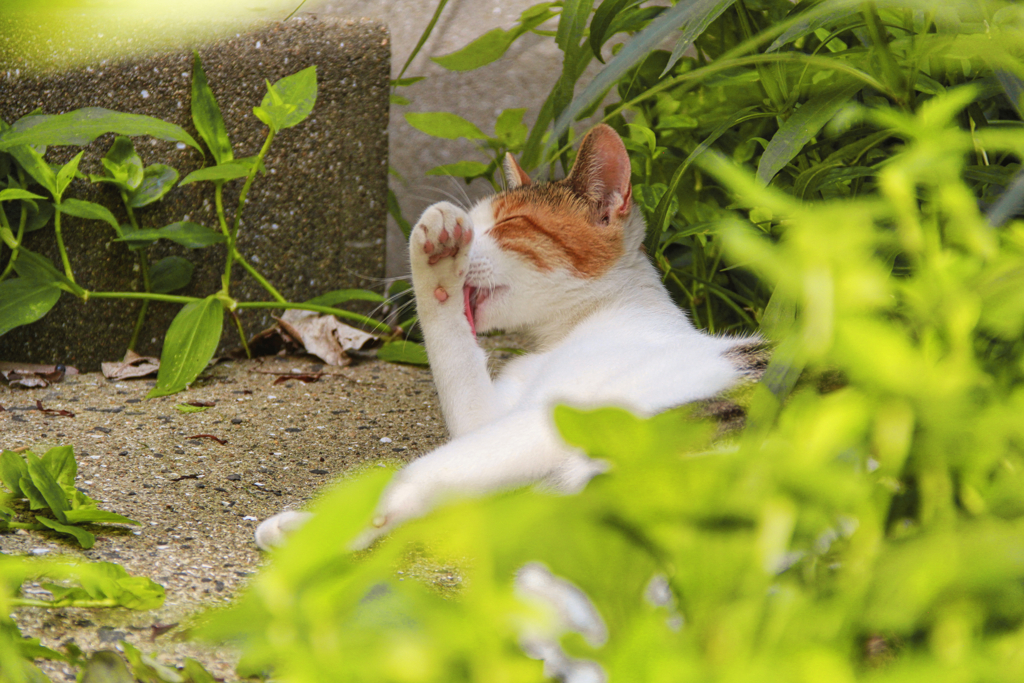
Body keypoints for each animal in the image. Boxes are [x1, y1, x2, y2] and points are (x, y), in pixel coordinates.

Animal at [256, 121, 761, 548]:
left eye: (507, 224)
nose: (465, 238)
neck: (571, 327)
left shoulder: (553, 419)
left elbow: (421, 472)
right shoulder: (488, 416)